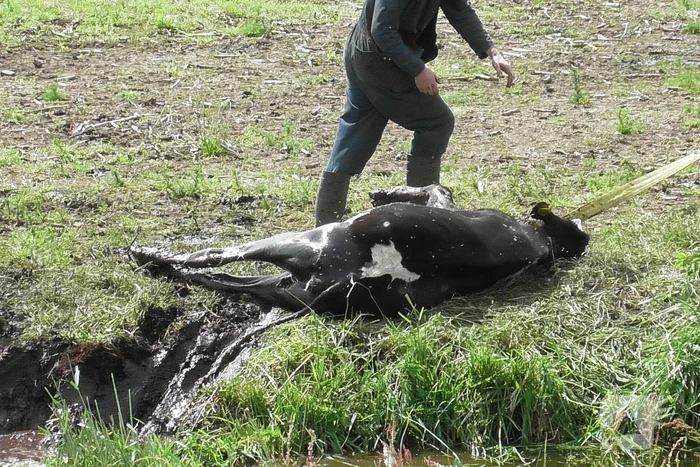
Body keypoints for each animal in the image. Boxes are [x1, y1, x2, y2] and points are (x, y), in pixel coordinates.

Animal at [130, 185, 589, 318]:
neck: (541, 243)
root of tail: (352, 276)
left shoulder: (445, 203)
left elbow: (434, 186)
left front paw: (390, 190)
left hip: (291, 242)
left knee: (209, 257)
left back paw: (146, 254)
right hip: (283, 286)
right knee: (217, 277)